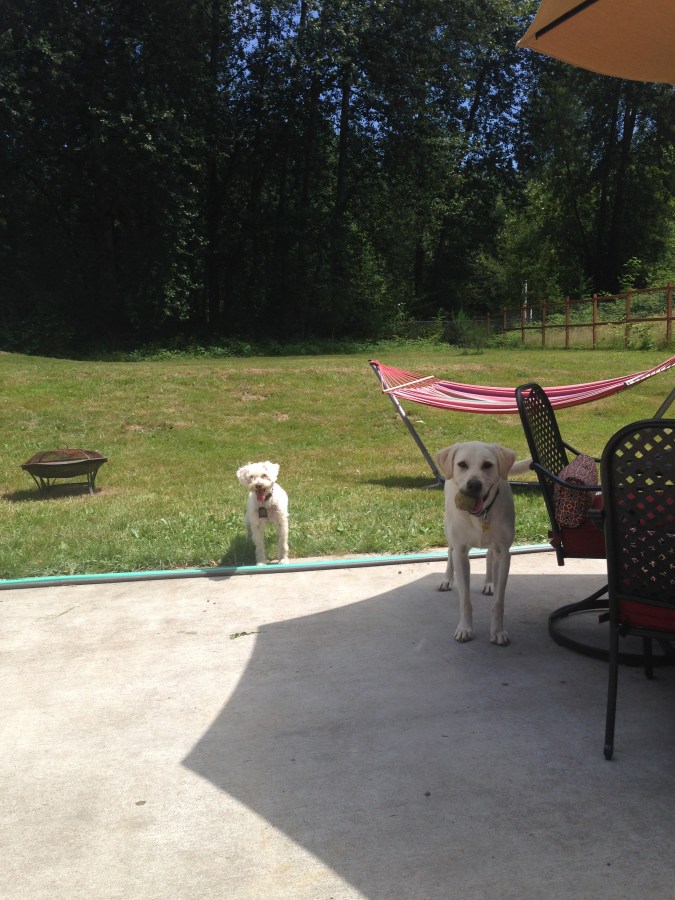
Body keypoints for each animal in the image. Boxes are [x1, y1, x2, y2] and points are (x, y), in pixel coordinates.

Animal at [434, 442, 531, 646]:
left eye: (487, 465)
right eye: (462, 464)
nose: (474, 484)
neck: (479, 516)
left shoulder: (504, 554)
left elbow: (499, 602)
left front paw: (498, 632)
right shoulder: (461, 552)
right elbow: (465, 600)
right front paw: (465, 629)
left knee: (488, 555)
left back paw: (489, 583)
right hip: (448, 530)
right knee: (449, 552)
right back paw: (447, 579)